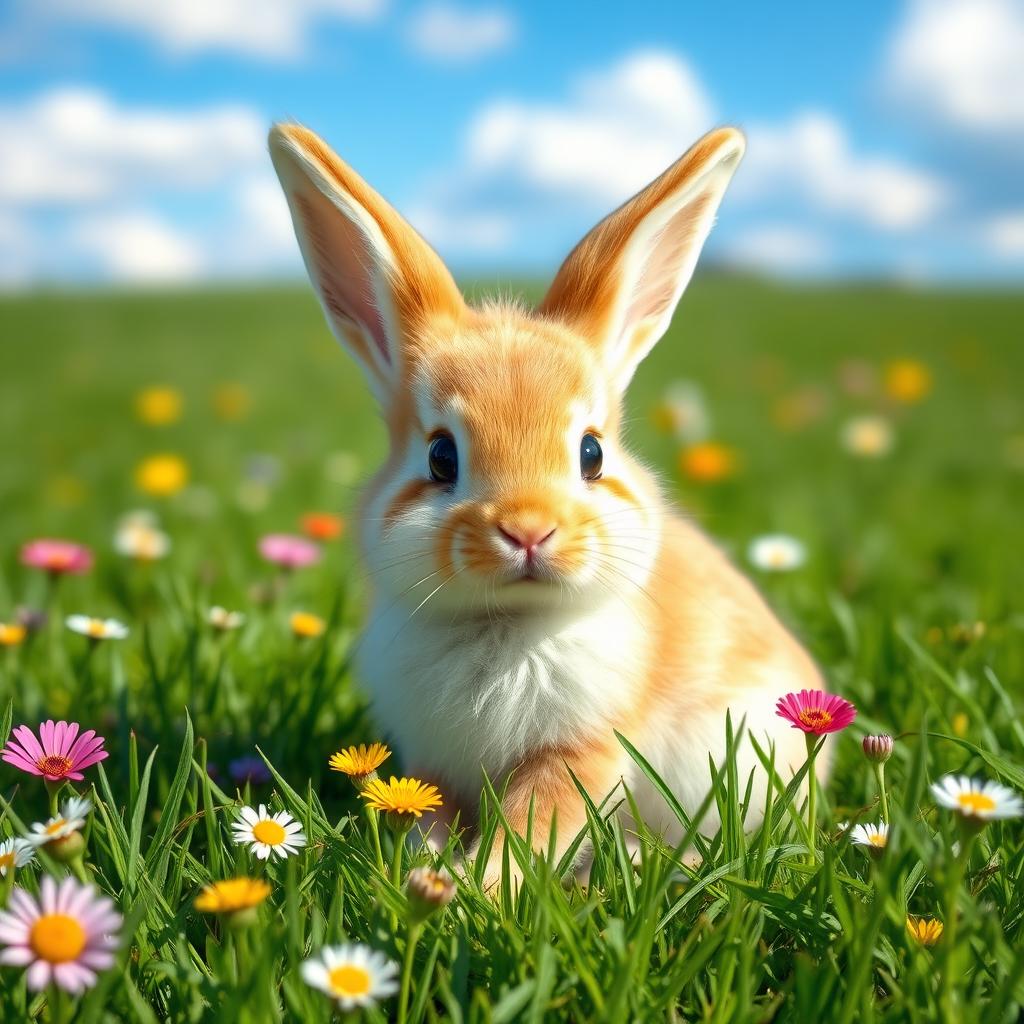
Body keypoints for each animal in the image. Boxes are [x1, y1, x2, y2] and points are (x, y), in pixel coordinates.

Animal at [269, 122, 825, 888]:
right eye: (441, 458)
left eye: (591, 453)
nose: (528, 531)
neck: (507, 620)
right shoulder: (434, 762)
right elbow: (432, 811)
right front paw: (424, 867)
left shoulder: (582, 752)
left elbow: (534, 826)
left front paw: (473, 888)